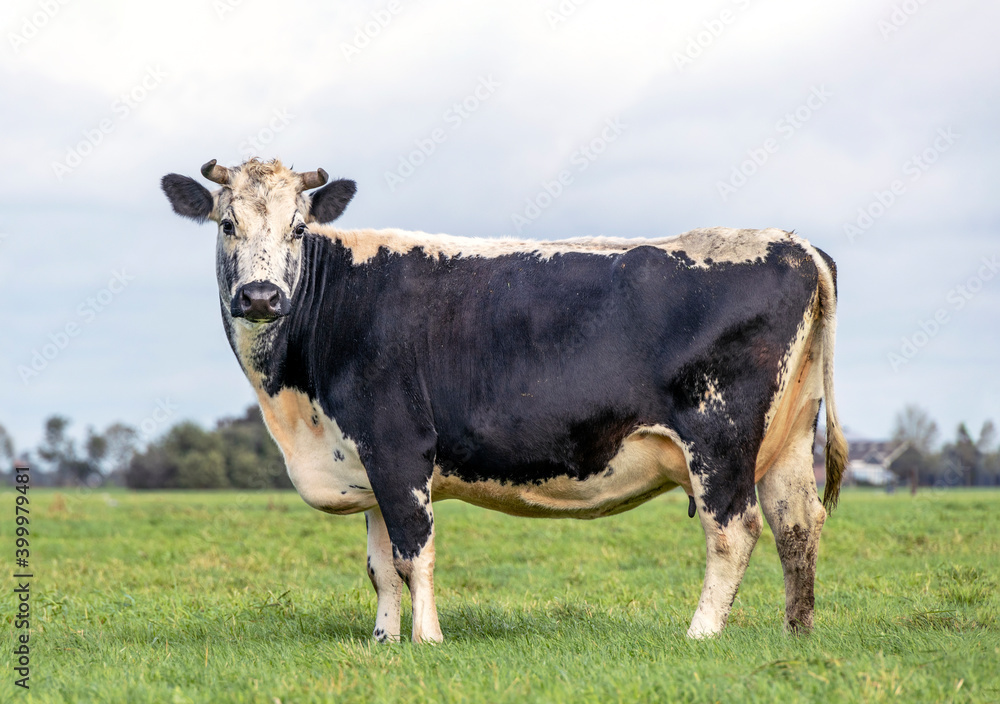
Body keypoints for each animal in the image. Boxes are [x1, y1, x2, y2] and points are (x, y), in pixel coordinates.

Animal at [161, 158, 847, 643]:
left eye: (297, 228)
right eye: (228, 224)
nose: (260, 296)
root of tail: (793, 243)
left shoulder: (398, 446)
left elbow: (414, 553)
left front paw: (427, 640)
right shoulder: (364, 457)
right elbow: (380, 565)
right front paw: (383, 642)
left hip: (720, 438)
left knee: (735, 530)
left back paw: (701, 634)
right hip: (789, 436)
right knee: (796, 522)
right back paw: (798, 631)